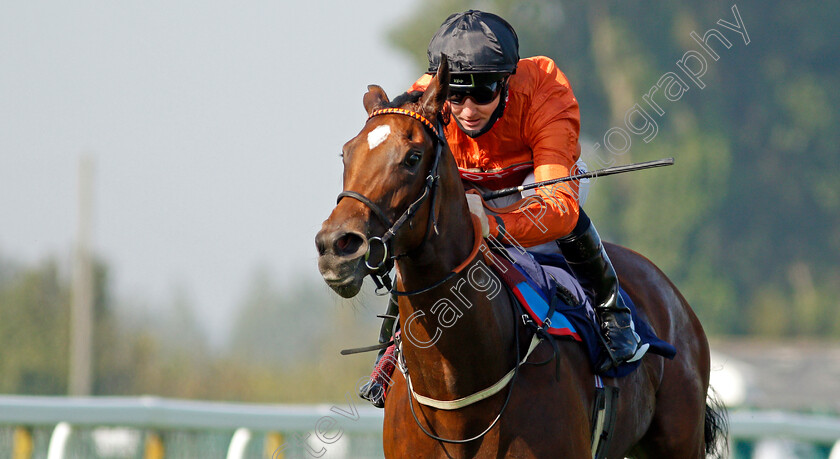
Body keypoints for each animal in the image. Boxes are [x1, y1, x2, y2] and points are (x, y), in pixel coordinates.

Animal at [318, 59, 724, 458]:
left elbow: (561, 206)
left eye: (412, 157)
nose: (336, 245)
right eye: (346, 153)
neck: (457, 396)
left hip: (679, 440)